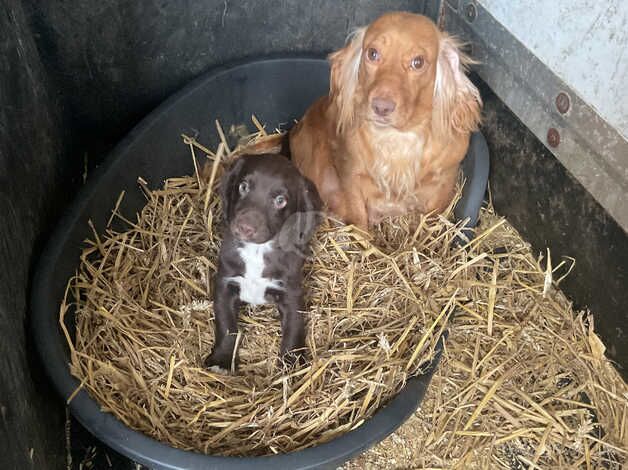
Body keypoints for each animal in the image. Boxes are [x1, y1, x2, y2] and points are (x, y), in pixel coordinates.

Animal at [206, 154, 322, 370]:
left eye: (280, 200)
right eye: (243, 186)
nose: (245, 228)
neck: (256, 251)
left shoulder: (291, 292)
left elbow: (294, 327)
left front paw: (291, 363)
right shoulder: (225, 283)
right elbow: (226, 325)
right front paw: (222, 360)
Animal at [290, 11, 480, 229]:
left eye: (418, 62)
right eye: (373, 53)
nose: (381, 107)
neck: (398, 138)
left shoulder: (445, 181)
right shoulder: (351, 179)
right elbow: (360, 222)